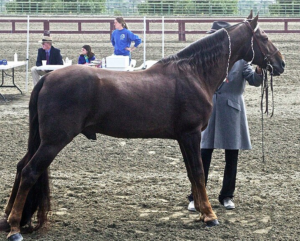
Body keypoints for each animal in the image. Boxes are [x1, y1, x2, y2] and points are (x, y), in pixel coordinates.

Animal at [1, 13, 284, 241]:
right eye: (265, 37)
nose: (281, 64)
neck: (193, 73)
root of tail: (47, 78)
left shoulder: (184, 138)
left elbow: (193, 175)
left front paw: (202, 213)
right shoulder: (191, 135)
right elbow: (199, 173)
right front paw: (210, 215)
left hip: (43, 140)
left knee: (20, 167)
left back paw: (8, 219)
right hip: (54, 141)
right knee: (29, 172)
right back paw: (14, 228)